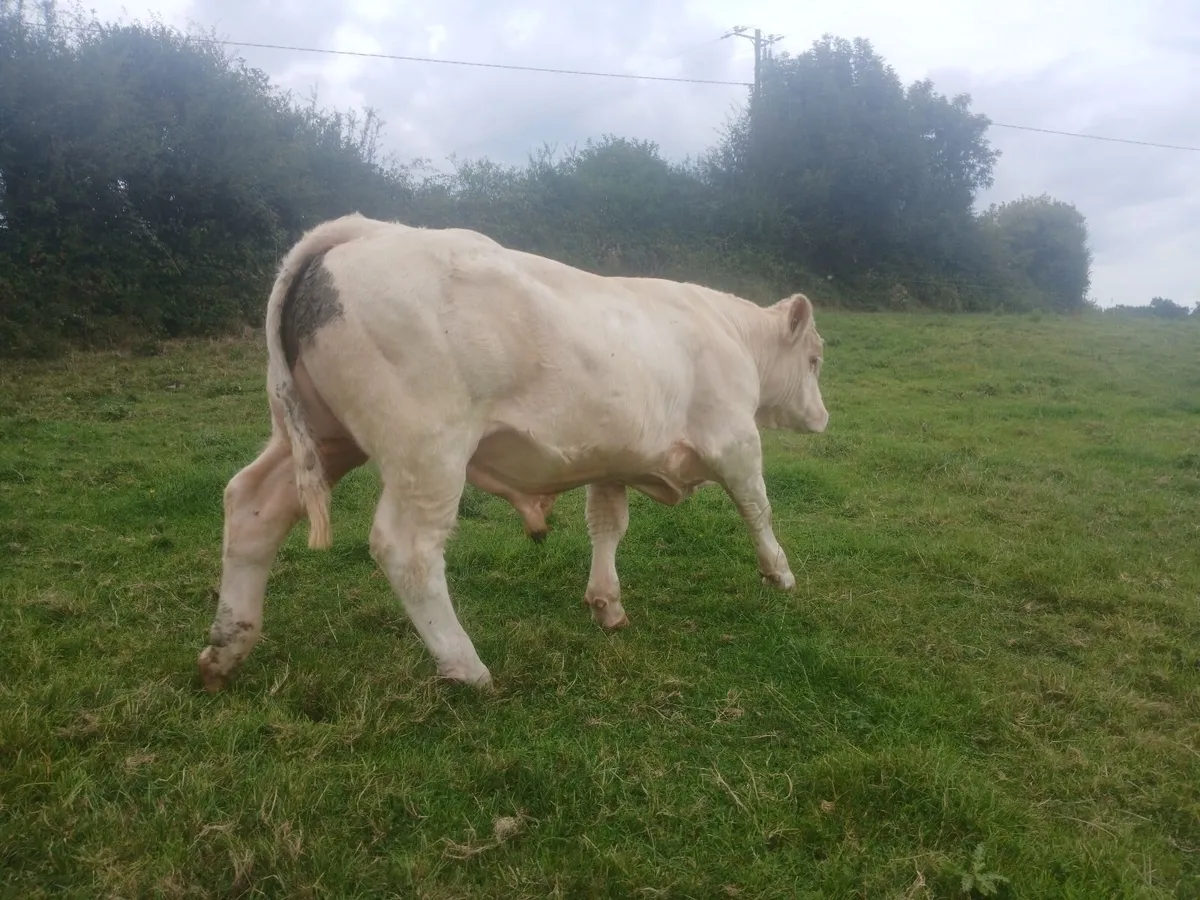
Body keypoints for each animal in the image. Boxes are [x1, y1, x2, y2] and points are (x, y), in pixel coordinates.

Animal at [197, 213, 829, 692]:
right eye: (816, 359)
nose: (823, 417)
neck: (730, 334)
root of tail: (364, 230)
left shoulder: (611, 454)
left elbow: (607, 525)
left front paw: (606, 603)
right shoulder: (734, 438)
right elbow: (757, 507)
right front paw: (780, 573)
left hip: (320, 436)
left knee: (252, 506)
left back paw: (226, 649)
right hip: (428, 450)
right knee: (407, 549)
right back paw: (466, 667)